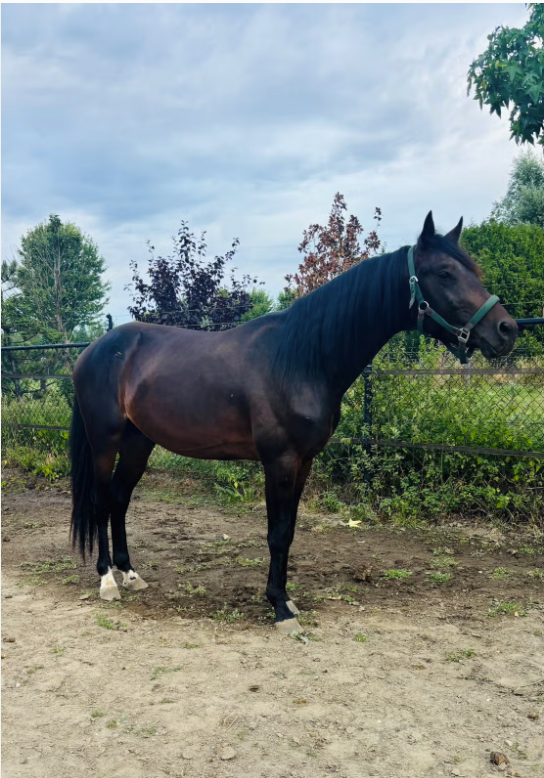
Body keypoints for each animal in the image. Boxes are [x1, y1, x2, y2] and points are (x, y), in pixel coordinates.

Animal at [70, 212, 518, 632]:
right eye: (444, 272)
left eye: (471, 270)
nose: (506, 330)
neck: (302, 359)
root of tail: (94, 349)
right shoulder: (280, 462)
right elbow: (276, 532)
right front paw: (280, 609)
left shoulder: (304, 462)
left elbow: (288, 532)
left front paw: (285, 599)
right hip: (105, 440)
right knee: (100, 500)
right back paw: (107, 580)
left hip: (138, 442)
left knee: (119, 499)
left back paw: (130, 574)